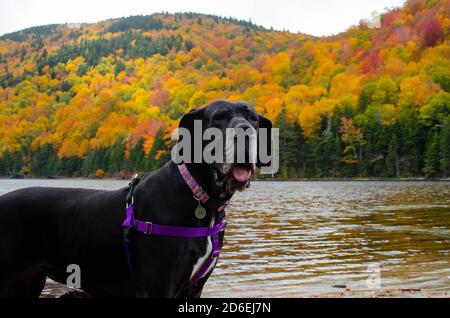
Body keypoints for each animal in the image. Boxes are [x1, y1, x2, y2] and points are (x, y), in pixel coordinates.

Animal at [0, 100, 270, 298]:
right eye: (218, 118)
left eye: (254, 119)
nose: (245, 132)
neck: (199, 197)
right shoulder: (156, 288)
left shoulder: (193, 290)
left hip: (26, 283)